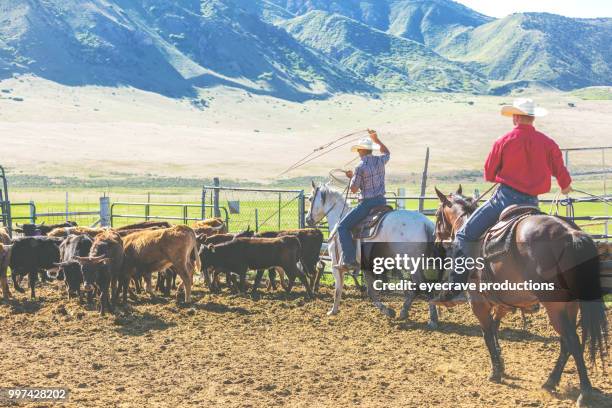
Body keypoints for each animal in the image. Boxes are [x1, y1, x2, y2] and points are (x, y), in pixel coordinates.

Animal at [436, 186, 608, 406]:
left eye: (438, 215)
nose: (436, 239)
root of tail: (571, 234)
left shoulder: (478, 303)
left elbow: (487, 333)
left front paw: (496, 372)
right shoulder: (502, 304)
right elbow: (495, 329)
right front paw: (501, 364)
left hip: (554, 305)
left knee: (573, 342)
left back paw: (584, 392)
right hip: (570, 305)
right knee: (566, 343)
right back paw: (550, 382)